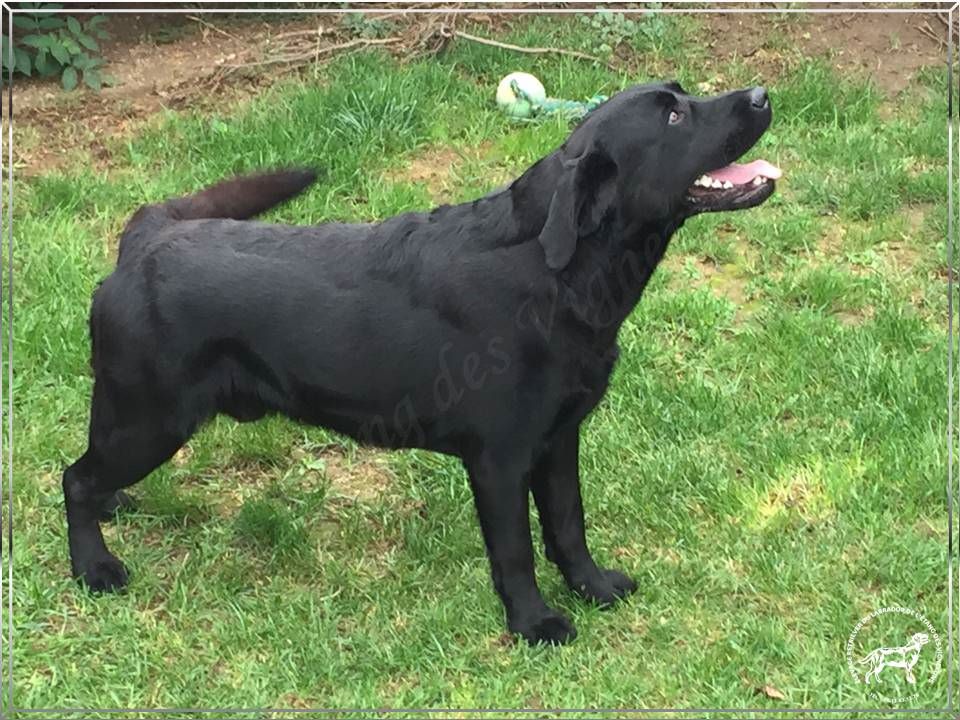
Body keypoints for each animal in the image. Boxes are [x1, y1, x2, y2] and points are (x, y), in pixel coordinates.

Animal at [62, 81, 780, 644]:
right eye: (674, 118)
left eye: (682, 96)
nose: (762, 95)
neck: (556, 272)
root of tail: (147, 232)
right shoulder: (499, 459)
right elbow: (516, 551)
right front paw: (535, 624)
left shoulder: (558, 440)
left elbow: (568, 526)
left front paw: (593, 586)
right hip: (150, 417)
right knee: (74, 479)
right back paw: (94, 567)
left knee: (91, 476)